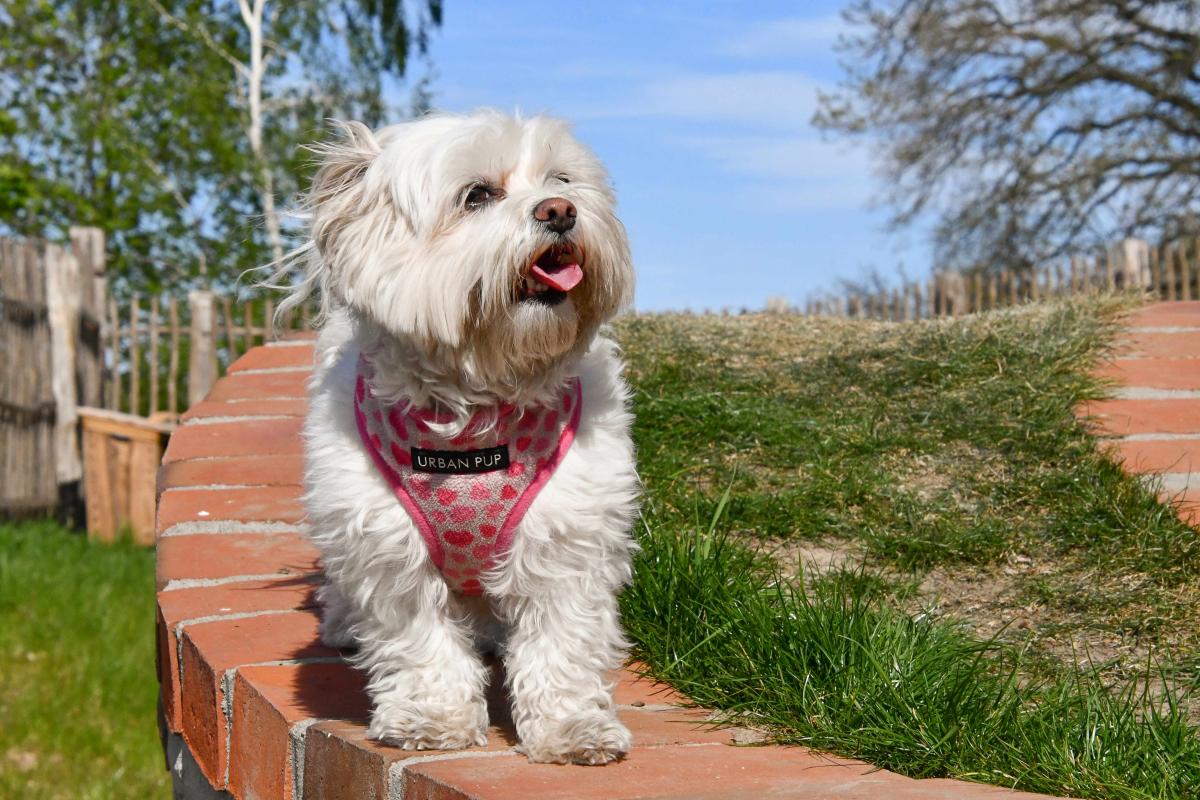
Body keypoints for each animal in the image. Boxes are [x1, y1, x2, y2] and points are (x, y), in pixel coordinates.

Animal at [277, 107, 643, 762]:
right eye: (477, 196)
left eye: (562, 180)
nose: (560, 211)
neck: (477, 408)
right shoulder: (388, 547)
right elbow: (420, 640)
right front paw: (433, 719)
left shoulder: (568, 538)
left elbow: (563, 640)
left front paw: (572, 728)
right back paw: (344, 623)